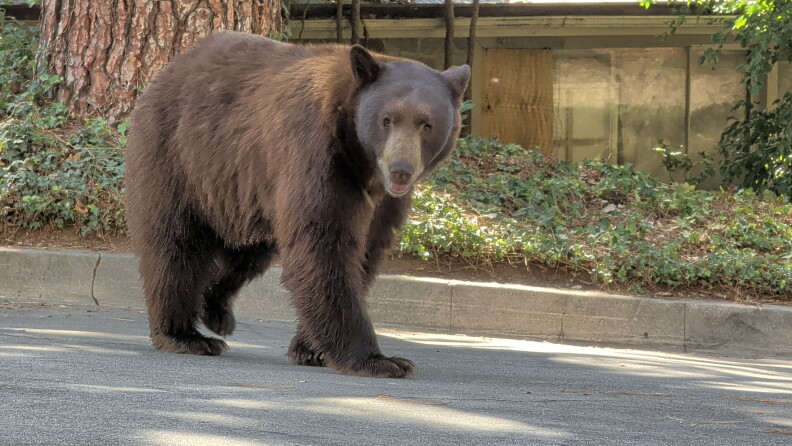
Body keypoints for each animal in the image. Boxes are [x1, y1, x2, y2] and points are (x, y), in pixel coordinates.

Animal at [124, 31, 470, 378]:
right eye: (387, 119)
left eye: (427, 124)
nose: (401, 169)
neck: (361, 160)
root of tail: (168, 69)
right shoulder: (317, 156)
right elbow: (324, 246)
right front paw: (378, 359)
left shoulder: (383, 202)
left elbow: (364, 252)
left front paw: (310, 348)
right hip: (178, 156)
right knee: (176, 245)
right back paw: (184, 335)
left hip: (245, 192)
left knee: (247, 253)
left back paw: (216, 311)